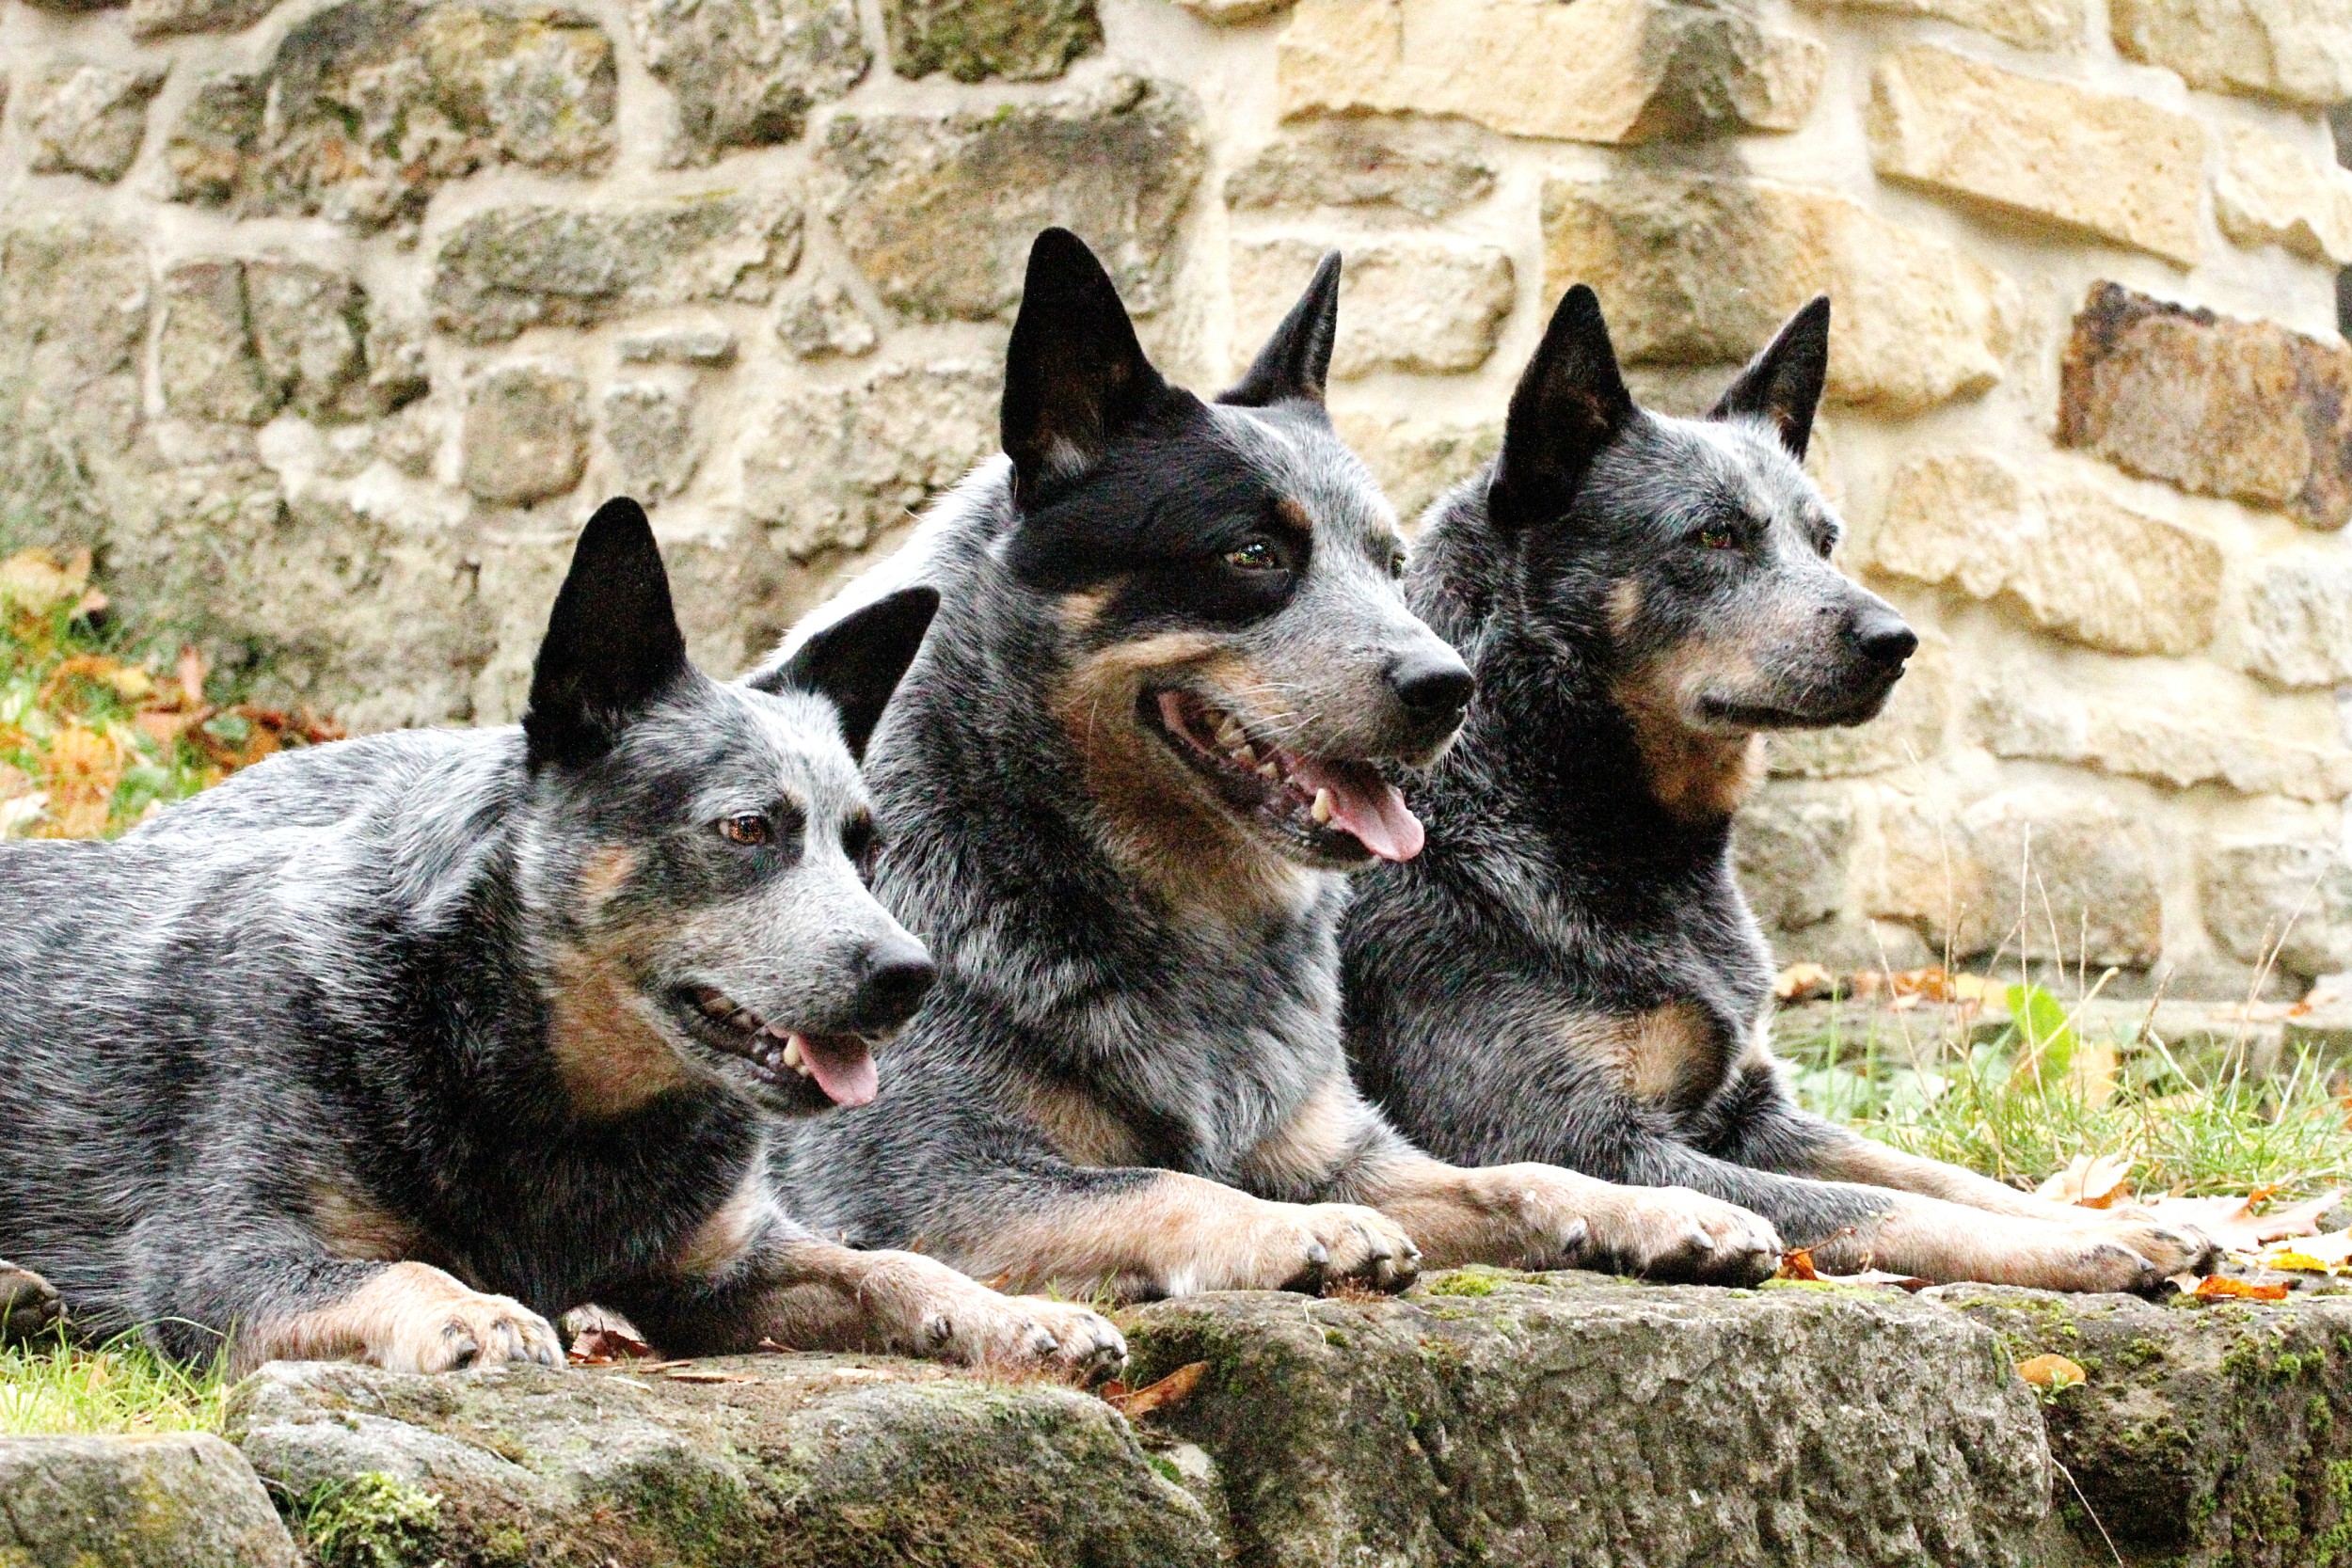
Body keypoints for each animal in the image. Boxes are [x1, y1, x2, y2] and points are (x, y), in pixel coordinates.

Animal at [0, 500, 1129, 1372]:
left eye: (866, 843)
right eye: (747, 827)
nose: (911, 973)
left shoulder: (715, 1264)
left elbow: (887, 1261)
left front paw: (1015, 1311)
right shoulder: (218, 1255)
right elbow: (401, 1265)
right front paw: (470, 1307)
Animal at [757, 227, 1778, 1297]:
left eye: (1390, 562)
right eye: (1253, 553)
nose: (1449, 684)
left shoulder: (1338, 1147)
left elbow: (1519, 1175)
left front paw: (1659, 1208)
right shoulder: (928, 1186)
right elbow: (1166, 1183)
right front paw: (1301, 1229)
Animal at [1345, 288, 2220, 1297]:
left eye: (1824, 540)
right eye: (1715, 533)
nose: (1896, 639)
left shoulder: (1751, 1108)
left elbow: (1933, 1172)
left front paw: (2110, 1216)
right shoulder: (1562, 1132)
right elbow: (1879, 1203)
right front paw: (2075, 1248)